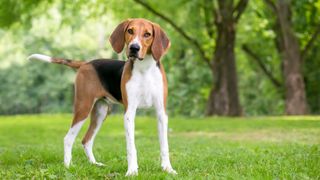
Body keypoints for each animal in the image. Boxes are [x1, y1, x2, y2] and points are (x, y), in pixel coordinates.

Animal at [27, 18, 176, 176]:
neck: (145, 69)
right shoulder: (129, 113)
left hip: (100, 112)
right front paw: (132, 171)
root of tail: (86, 63)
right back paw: (68, 167)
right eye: (130, 31)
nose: (134, 48)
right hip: (83, 107)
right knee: (68, 138)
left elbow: (164, 146)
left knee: (86, 140)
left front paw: (168, 169)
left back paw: (94, 164)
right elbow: (131, 147)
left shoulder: (161, 113)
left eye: (147, 34)